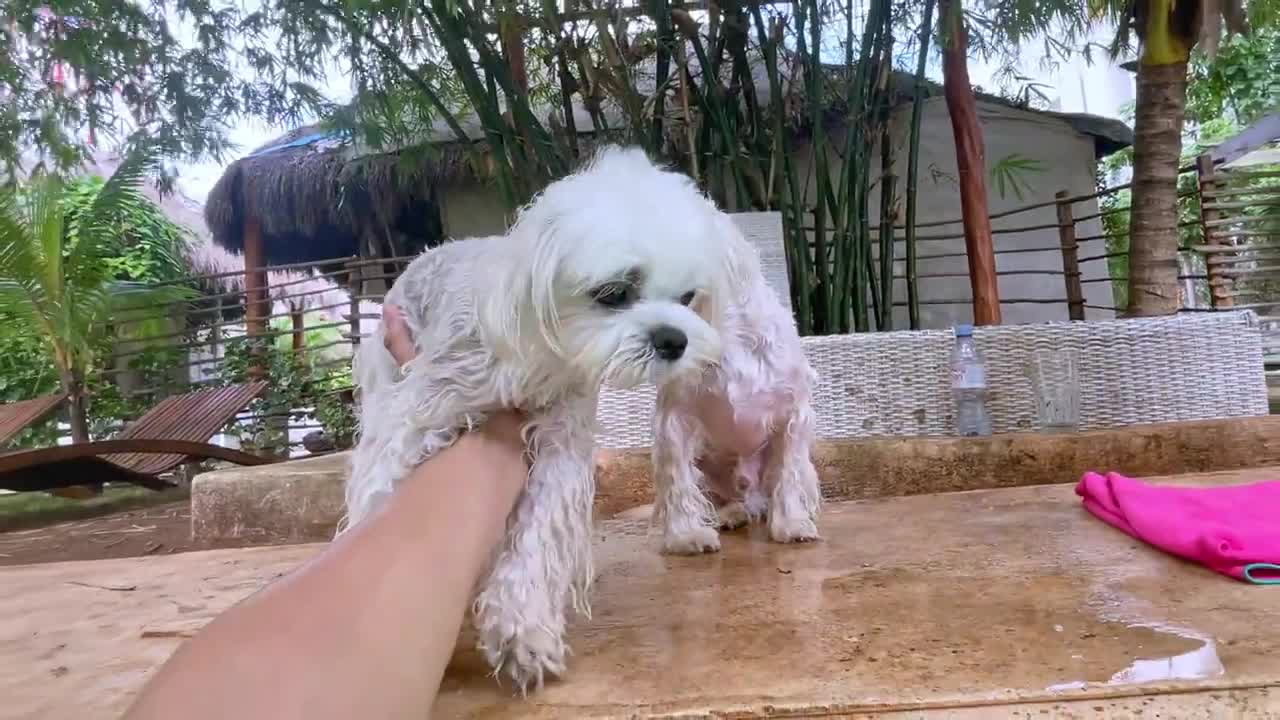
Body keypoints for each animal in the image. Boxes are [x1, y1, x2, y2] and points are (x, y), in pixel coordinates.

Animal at [345, 146, 752, 691]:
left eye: (688, 298)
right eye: (613, 292)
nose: (674, 339)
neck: (541, 358)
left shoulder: (560, 441)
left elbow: (537, 532)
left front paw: (523, 628)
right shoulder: (417, 415)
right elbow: (382, 499)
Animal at [650, 219, 819, 548]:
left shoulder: (794, 413)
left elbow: (788, 472)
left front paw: (791, 524)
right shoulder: (675, 418)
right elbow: (678, 479)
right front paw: (686, 535)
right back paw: (731, 514)